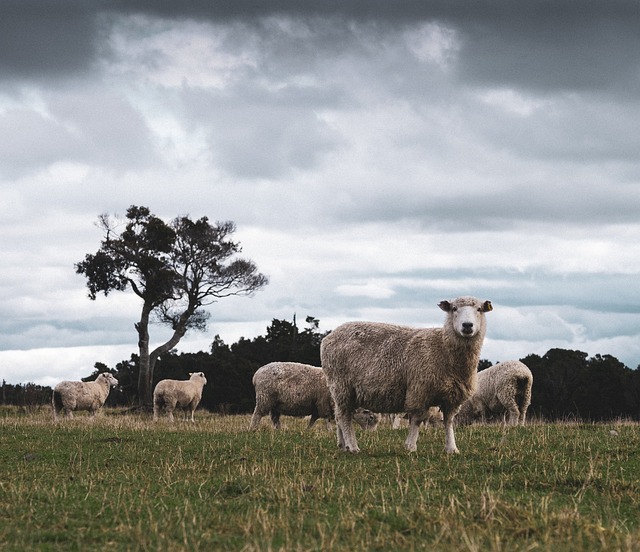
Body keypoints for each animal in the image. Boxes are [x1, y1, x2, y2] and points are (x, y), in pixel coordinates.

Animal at [249, 360, 380, 434]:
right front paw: (330, 431)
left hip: (275, 404)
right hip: (265, 398)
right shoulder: (324, 403)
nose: (371, 434)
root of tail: (256, 374)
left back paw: (279, 431)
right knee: (257, 414)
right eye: (371, 417)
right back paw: (252, 429)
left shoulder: (317, 406)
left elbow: (313, 420)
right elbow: (327, 418)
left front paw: (307, 430)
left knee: (275, 419)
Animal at [320, 296, 496, 454]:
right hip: (341, 385)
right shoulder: (420, 390)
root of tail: (329, 337)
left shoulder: (452, 396)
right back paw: (352, 446)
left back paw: (343, 445)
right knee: (344, 416)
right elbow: (417, 420)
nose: (467, 325)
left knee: (340, 417)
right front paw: (410, 446)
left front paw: (452, 449)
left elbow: (448, 422)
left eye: (479, 309)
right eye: (454, 309)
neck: (442, 346)